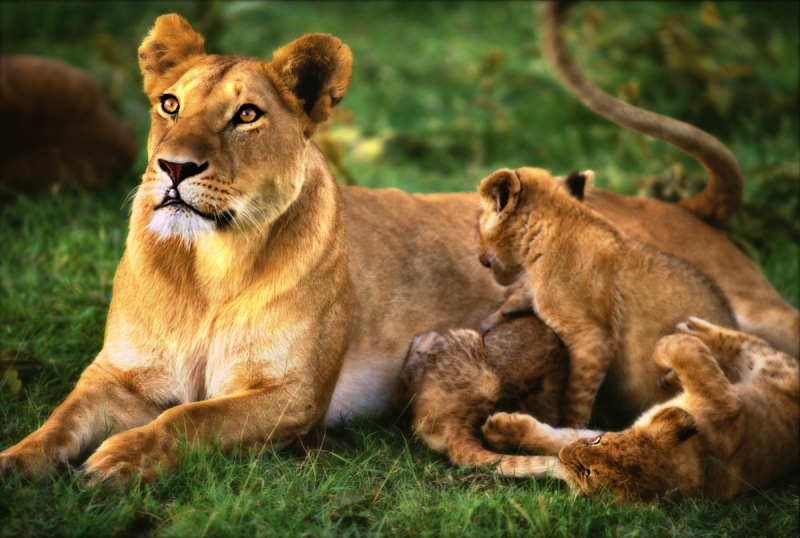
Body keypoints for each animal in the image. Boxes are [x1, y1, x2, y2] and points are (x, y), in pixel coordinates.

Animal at [477, 166, 738, 427]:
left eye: (478, 223)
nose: (479, 258)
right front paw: (489, 322)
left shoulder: (592, 337)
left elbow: (576, 397)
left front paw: (569, 429)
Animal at [483, 319, 800, 503]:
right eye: (598, 442)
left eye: (588, 474)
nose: (564, 457)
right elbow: (554, 437)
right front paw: (498, 429)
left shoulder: (726, 402)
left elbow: (679, 349)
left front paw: (663, 344)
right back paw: (673, 373)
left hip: (774, 364)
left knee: (742, 343)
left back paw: (690, 329)